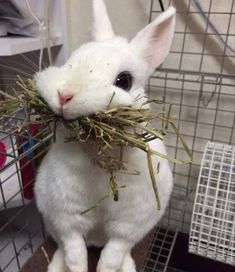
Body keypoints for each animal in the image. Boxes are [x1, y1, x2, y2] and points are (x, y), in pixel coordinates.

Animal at [34, 1, 175, 270]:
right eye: (71, 61)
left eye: (124, 80)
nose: (64, 95)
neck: (99, 152)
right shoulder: (67, 219)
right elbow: (75, 254)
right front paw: (75, 266)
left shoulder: (128, 227)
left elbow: (111, 257)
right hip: (50, 220)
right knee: (61, 248)